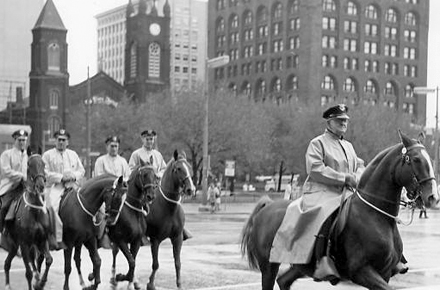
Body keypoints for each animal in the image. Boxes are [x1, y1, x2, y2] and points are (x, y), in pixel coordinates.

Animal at [2, 148, 52, 290]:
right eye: (29, 165)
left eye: (44, 164)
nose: (40, 185)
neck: (35, 212)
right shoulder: (24, 244)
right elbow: (28, 273)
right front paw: (36, 281)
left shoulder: (42, 240)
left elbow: (48, 260)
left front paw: (41, 282)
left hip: (14, 245)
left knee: (7, 263)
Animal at [107, 157, 159, 288]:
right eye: (144, 175)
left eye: (155, 175)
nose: (151, 196)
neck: (133, 211)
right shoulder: (121, 240)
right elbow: (131, 262)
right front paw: (121, 277)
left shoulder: (136, 241)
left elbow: (133, 261)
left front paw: (130, 280)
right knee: (113, 253)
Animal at [241, 131, 440, 290]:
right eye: (415, 159)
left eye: (430, 160)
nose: (432, 197)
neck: (376, 216)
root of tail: (267, 207)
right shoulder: (362, 272)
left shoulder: (384, 273)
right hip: (268, 266)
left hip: (300, 265)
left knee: (284, 281)